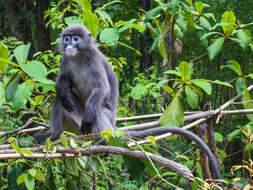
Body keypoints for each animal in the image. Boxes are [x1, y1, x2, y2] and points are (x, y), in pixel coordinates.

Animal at [33, 24, 221, 182]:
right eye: (67, 38)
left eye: (75, 38)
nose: (69, 43)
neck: (79, 56)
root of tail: (113, 125)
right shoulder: (66, 58)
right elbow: (62, 83)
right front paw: (62, 89)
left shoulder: (93, 61)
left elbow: (102, 89)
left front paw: (90, 111)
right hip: (78, 128)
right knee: (60, 101)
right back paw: (54, 135)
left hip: (99, 123)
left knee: (97, 111)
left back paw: (103, 143)